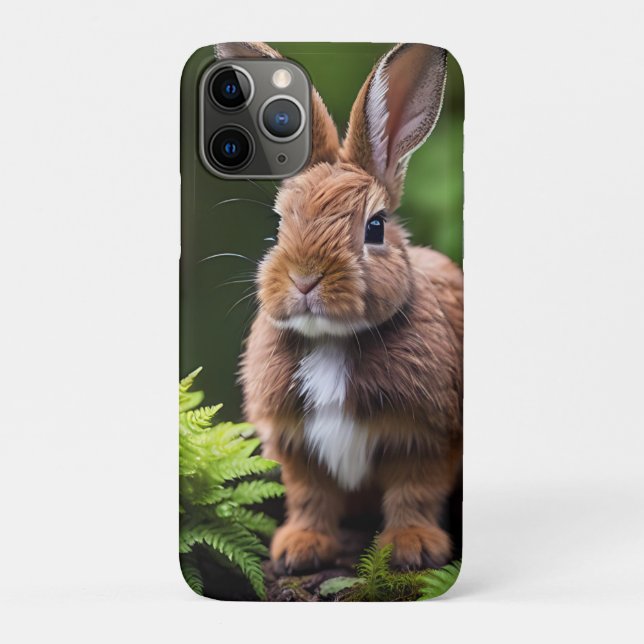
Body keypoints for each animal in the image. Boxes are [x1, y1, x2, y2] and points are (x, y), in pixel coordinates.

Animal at [219, 42, 463, 572]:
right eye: (278, 227)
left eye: (375, 227)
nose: (305, 278)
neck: (331, 341)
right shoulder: (296, 445)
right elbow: (312, 496)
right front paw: (299, 549)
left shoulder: (426, 436)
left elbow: (414, 492)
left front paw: (413, 547)